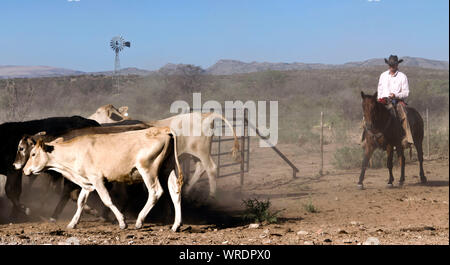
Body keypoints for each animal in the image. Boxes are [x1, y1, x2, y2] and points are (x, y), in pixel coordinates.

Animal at [22, 127, 184, 230]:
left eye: (33, 154)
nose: (24, 170)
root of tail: (163, 129)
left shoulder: (98, 179)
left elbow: (107, 200)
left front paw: (122, 222)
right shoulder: (87, 183)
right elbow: (81, 202)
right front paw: (73, 223)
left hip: (148, 169)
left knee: (155, 192)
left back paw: (139, 221)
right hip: (168, 169)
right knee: (175, 192)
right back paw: (176, 225)